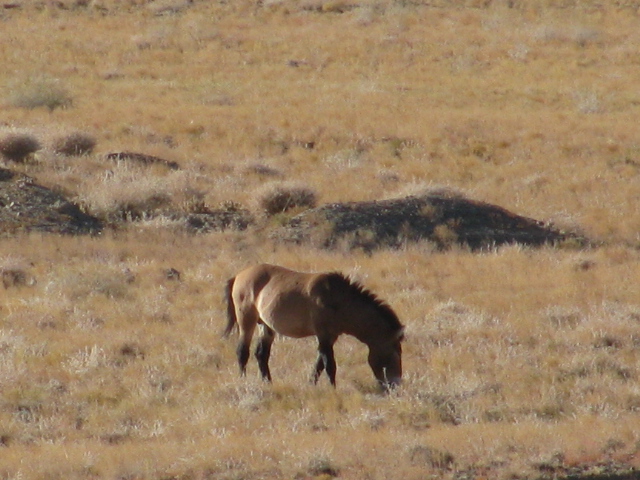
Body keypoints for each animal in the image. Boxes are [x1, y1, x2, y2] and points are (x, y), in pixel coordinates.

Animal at [224, 262, 404, 390]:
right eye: (394, 354)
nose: (395, 385)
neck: (340, 300)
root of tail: (238, 276)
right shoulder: (323, 335)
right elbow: (329, 364)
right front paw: (333, 389)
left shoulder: (330, 337)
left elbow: (319, 364)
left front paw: (311, 384)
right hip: (246, 321)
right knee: (242, 352)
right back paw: (244, 381)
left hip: (267, 327)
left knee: (261, 354)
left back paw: (268, 383)